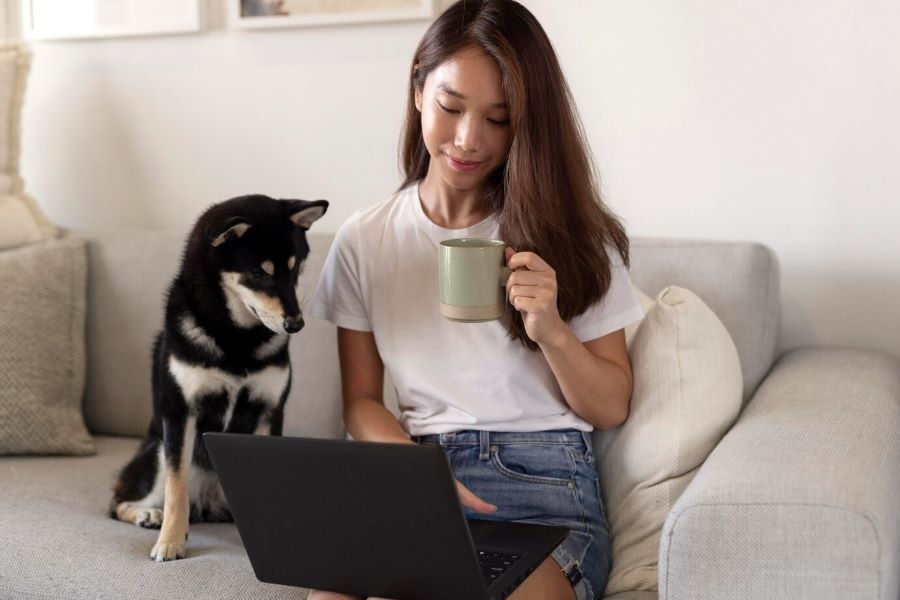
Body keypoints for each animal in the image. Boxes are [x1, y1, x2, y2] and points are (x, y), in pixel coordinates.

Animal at [109, 195, 326, 560]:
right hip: (157, 451)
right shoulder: (180, 413)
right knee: (118, 503)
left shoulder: (269, 410)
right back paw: (148, 515)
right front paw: (170, 542)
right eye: (257, 272)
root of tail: (207, 505)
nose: (295, 324)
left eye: (295, 269)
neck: (236, 339)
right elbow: (177, 488)